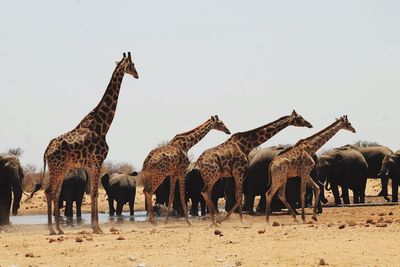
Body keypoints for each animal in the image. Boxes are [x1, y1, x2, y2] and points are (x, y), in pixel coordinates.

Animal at [30, 51, 138, 234]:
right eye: (132, 65)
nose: (138, 75)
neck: (103, 126)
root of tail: (46, 151)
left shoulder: (90, 164)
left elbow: (93, 193)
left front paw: (95, 227)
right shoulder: (98, 160)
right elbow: (94, 193)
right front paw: (97, 227)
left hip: (59, 168)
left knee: (54, 192)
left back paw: (59, 229)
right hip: (59, 168)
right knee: (50, 191)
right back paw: (52, 229)